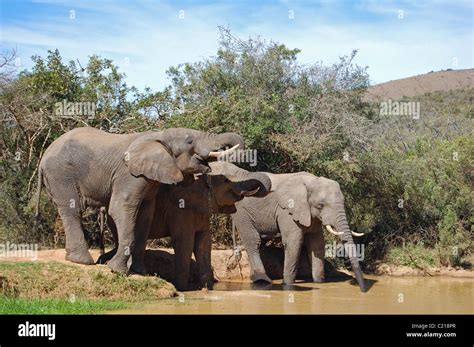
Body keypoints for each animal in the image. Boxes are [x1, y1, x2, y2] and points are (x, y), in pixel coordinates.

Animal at [36, 126, 244, 276]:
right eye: (190, 141)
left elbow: (145, 216)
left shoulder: (150, 180)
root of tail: (43, 157)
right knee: (72, 210)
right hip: (61, 174)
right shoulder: (129, 175)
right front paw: (117, 271)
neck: (158, 136)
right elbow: (122, 209)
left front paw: (139, 271)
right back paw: (82, 261)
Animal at [98, 163, 272, 290]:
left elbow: (203, 245)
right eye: (226, 181)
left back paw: (104, 261)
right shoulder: (179, 209)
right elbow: (185, 243)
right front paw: (181, 289)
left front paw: (207, 288)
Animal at [209, 164, 368, 294]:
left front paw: (319, 282)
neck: (311, 182)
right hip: (241, 212)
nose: (363, 291)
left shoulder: (311, 216)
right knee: (253, 241)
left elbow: (317, 245)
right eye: (320, 205)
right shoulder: (286, 211)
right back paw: (263, 282)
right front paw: (288, 285)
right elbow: (294, 242)